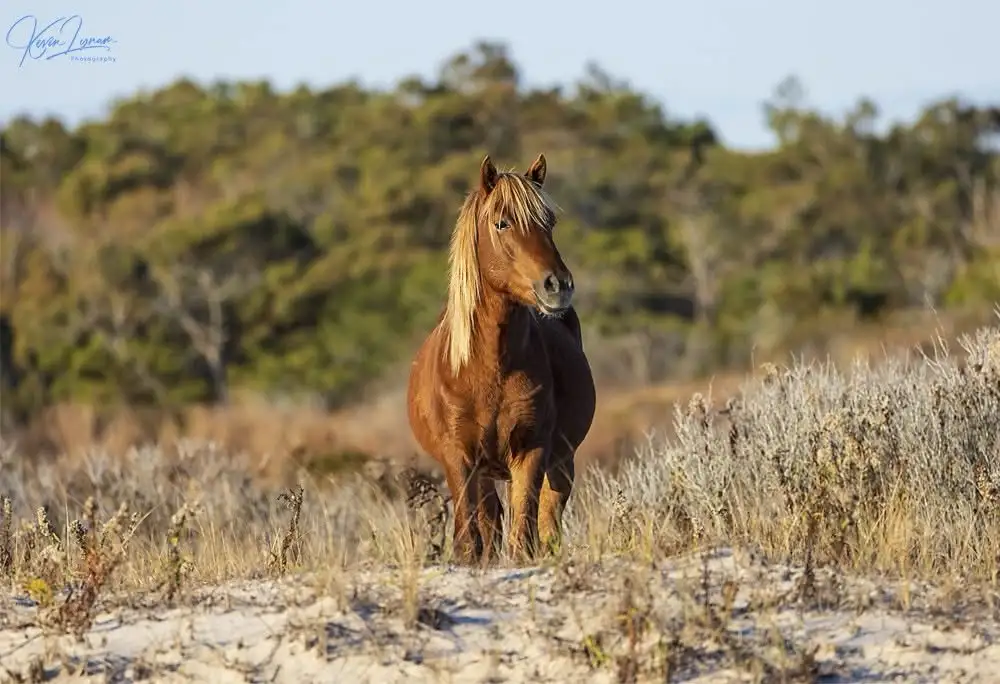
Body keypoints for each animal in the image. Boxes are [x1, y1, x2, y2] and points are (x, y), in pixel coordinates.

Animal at [406, 153, 596, 565]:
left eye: (550, 222)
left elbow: (524, 534)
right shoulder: (459, 458)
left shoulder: (531, 450)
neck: (487, 367)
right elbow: (469, 539)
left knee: (546, 522)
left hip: (561, 463)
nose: (558, 286)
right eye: (501, 222)